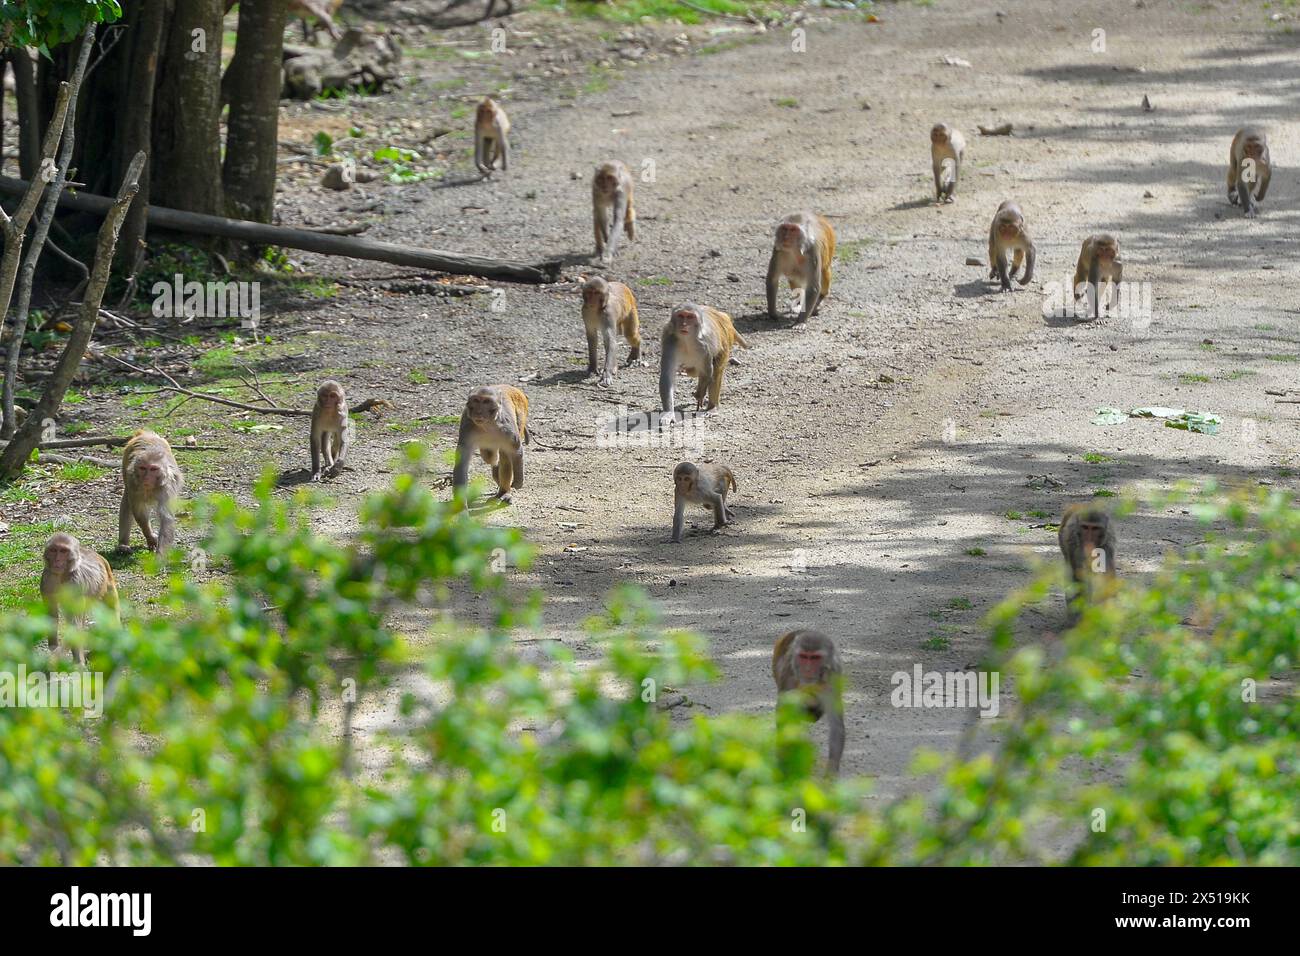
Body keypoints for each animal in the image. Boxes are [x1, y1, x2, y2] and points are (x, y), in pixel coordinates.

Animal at [40, 530, 120, 665]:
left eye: (63, 551)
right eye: (54, 550)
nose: (57, 560)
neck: (62, 575)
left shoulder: (75, 584)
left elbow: (74, 625)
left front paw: (56, 657)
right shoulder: (46, 578)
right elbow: (52, 614)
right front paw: (53, 647)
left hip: (106, 584)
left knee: (111, 614)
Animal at [769, 629, 842, 780]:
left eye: (815, 658)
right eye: (803, 657)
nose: (807, 669)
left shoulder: (834, 675)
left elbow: (836, 724)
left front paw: (830, 774)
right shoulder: (789, 674)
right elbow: (784, 714)